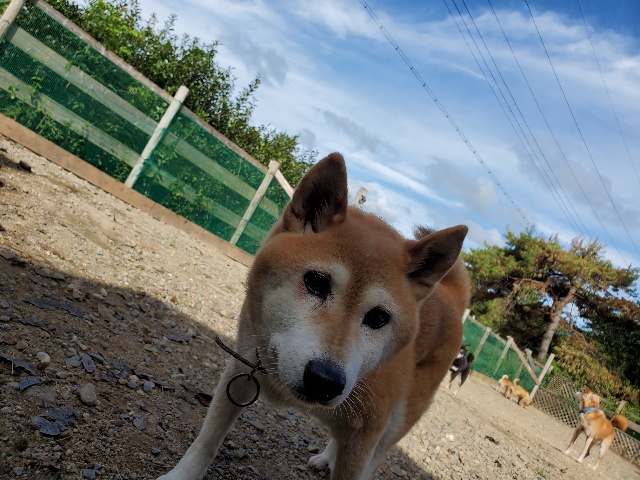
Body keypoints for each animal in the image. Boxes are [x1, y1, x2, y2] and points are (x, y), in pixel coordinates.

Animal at [158, 153, 470, 480]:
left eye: (379, 318)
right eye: (316, 282)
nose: (325, 380)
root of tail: (451, 293)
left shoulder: (366, 432)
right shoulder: (241, 371)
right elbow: (207, 440)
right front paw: (181, 475)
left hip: (400, 417)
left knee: (378, 454)